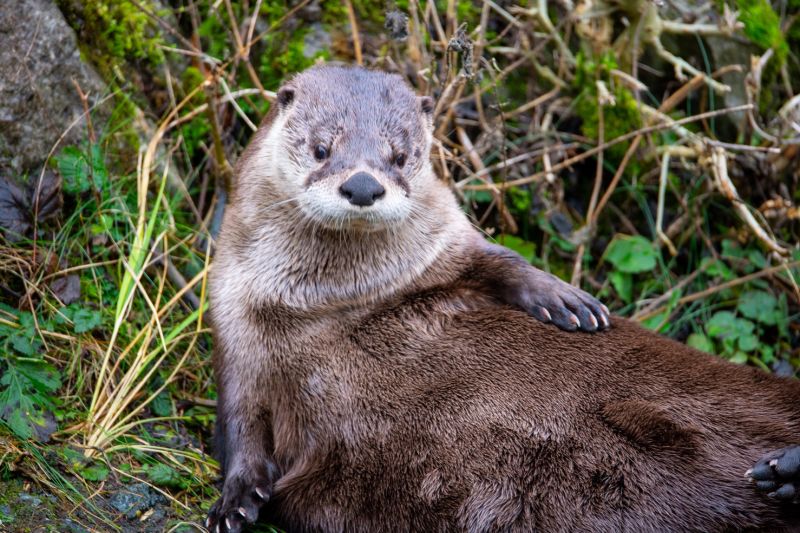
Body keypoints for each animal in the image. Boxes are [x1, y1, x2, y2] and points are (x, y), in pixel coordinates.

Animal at [208, 64, 800, 528]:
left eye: (400, 155)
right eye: (321, 148)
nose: (362, 185)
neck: (331, 297)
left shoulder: (450, 242)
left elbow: (502, 262)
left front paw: (565, 300)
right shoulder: (236, 327)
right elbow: (239, 423)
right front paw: (235, 501)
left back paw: (784, 471)